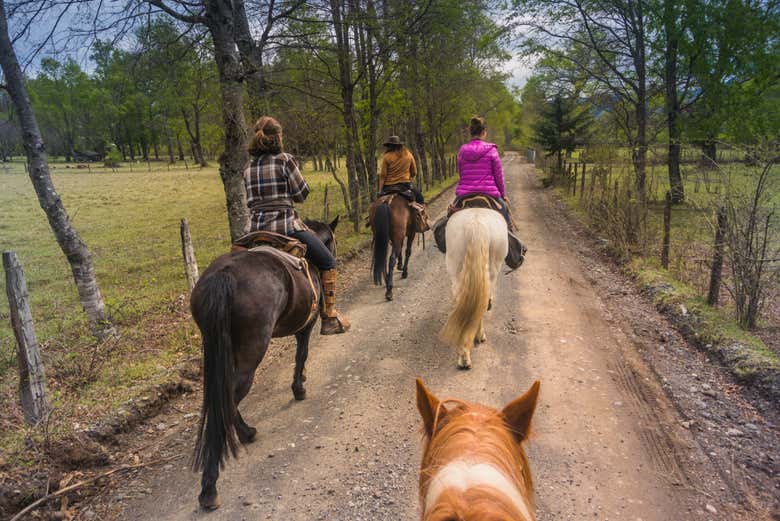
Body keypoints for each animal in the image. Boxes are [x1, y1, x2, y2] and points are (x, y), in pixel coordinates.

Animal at [190, 215, 336, 508]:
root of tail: (223, 276)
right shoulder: (306, 326)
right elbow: (301, 355)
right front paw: (299, 388)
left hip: (216, 344)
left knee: (223, 395)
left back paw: (246, 433)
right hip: (252, 350)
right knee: (230, 396)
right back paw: (210, 486)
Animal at [442, 208, 508, 370]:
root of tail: (476, 225)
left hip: (455, 267)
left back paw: (464, 355)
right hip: (492, 270)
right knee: (483, 301)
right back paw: (477, 338)